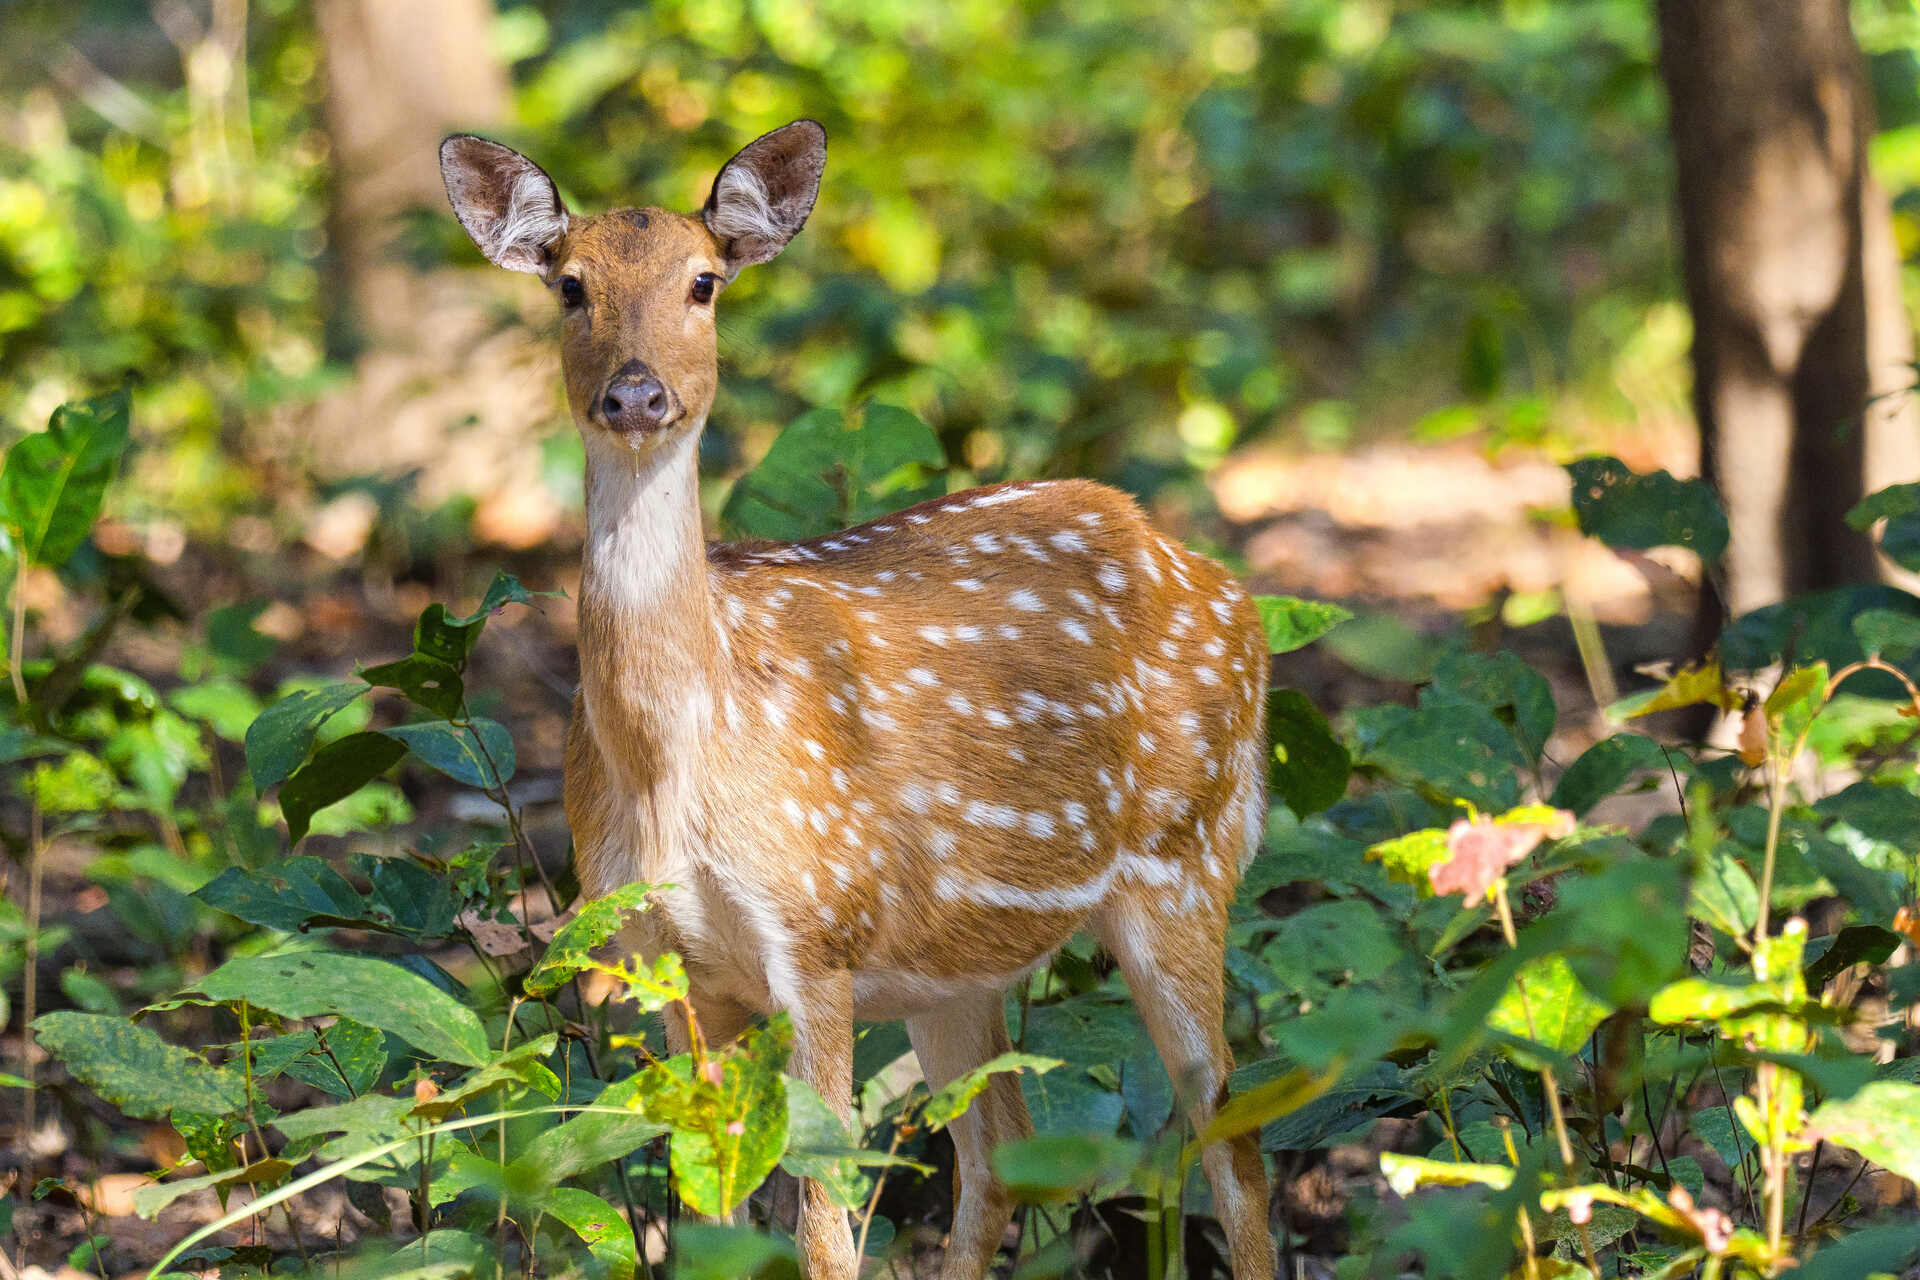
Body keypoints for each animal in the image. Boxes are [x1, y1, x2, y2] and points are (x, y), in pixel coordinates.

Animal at [437, 122, 1274, 1280]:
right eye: (570, 286)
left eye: (704, 282)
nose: (637, 395)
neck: (678, 757)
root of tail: (1228, 591)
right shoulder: (666, 957)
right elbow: (712, 1222)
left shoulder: (817, 930)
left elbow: (824, 1230)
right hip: (956, 962)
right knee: (999, 1152)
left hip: (1188, 859)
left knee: (1236, 1143)